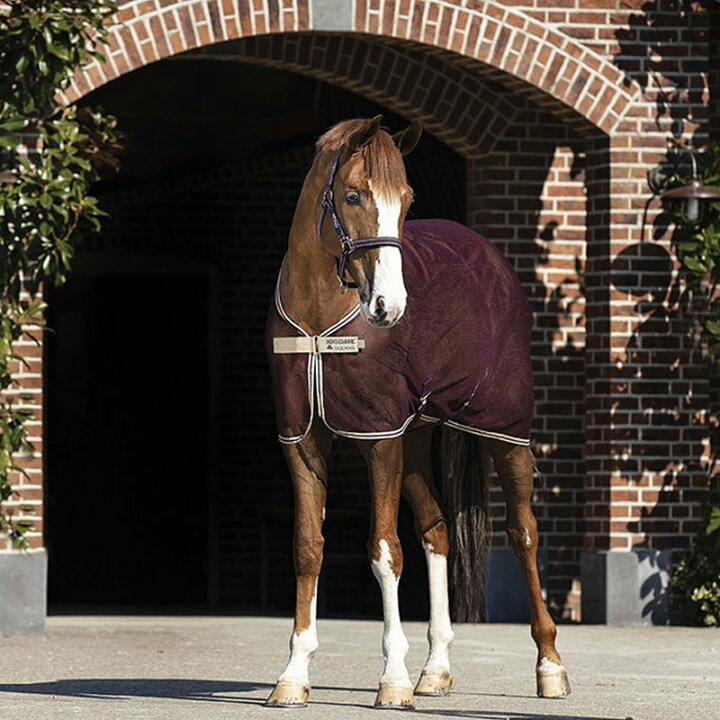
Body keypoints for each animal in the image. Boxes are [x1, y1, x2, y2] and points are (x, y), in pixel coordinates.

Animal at [264, 115, 571, 710]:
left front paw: (392, 680)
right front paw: (292, 675)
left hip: (504, 429)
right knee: (438, 530)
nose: (390, 306)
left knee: (523, 532)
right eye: (353, 195)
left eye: (406, 200)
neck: (320, 323)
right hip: (418, 441)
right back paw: (436, 670)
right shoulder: (303, 441)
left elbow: (385, 551)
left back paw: (550, 667)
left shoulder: (379, 438)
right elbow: (308, 548)